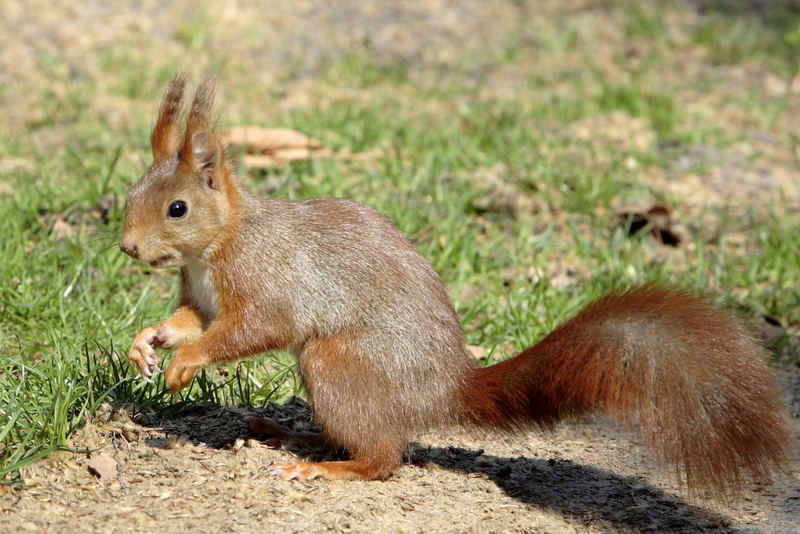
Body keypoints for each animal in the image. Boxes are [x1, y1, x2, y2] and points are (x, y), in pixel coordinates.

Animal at [119, 75, 788, 502]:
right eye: (131, 194)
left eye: (177, 208)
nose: (127, 247)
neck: (217, 246)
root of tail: (444, 390)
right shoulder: (200, 294)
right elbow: (187, 320)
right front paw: (145, 344)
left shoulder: (269, 280)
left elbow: (251, 329)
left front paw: (185, 362)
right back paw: (295, 437)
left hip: (339, 362)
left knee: (386, 457)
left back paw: (328, 468)